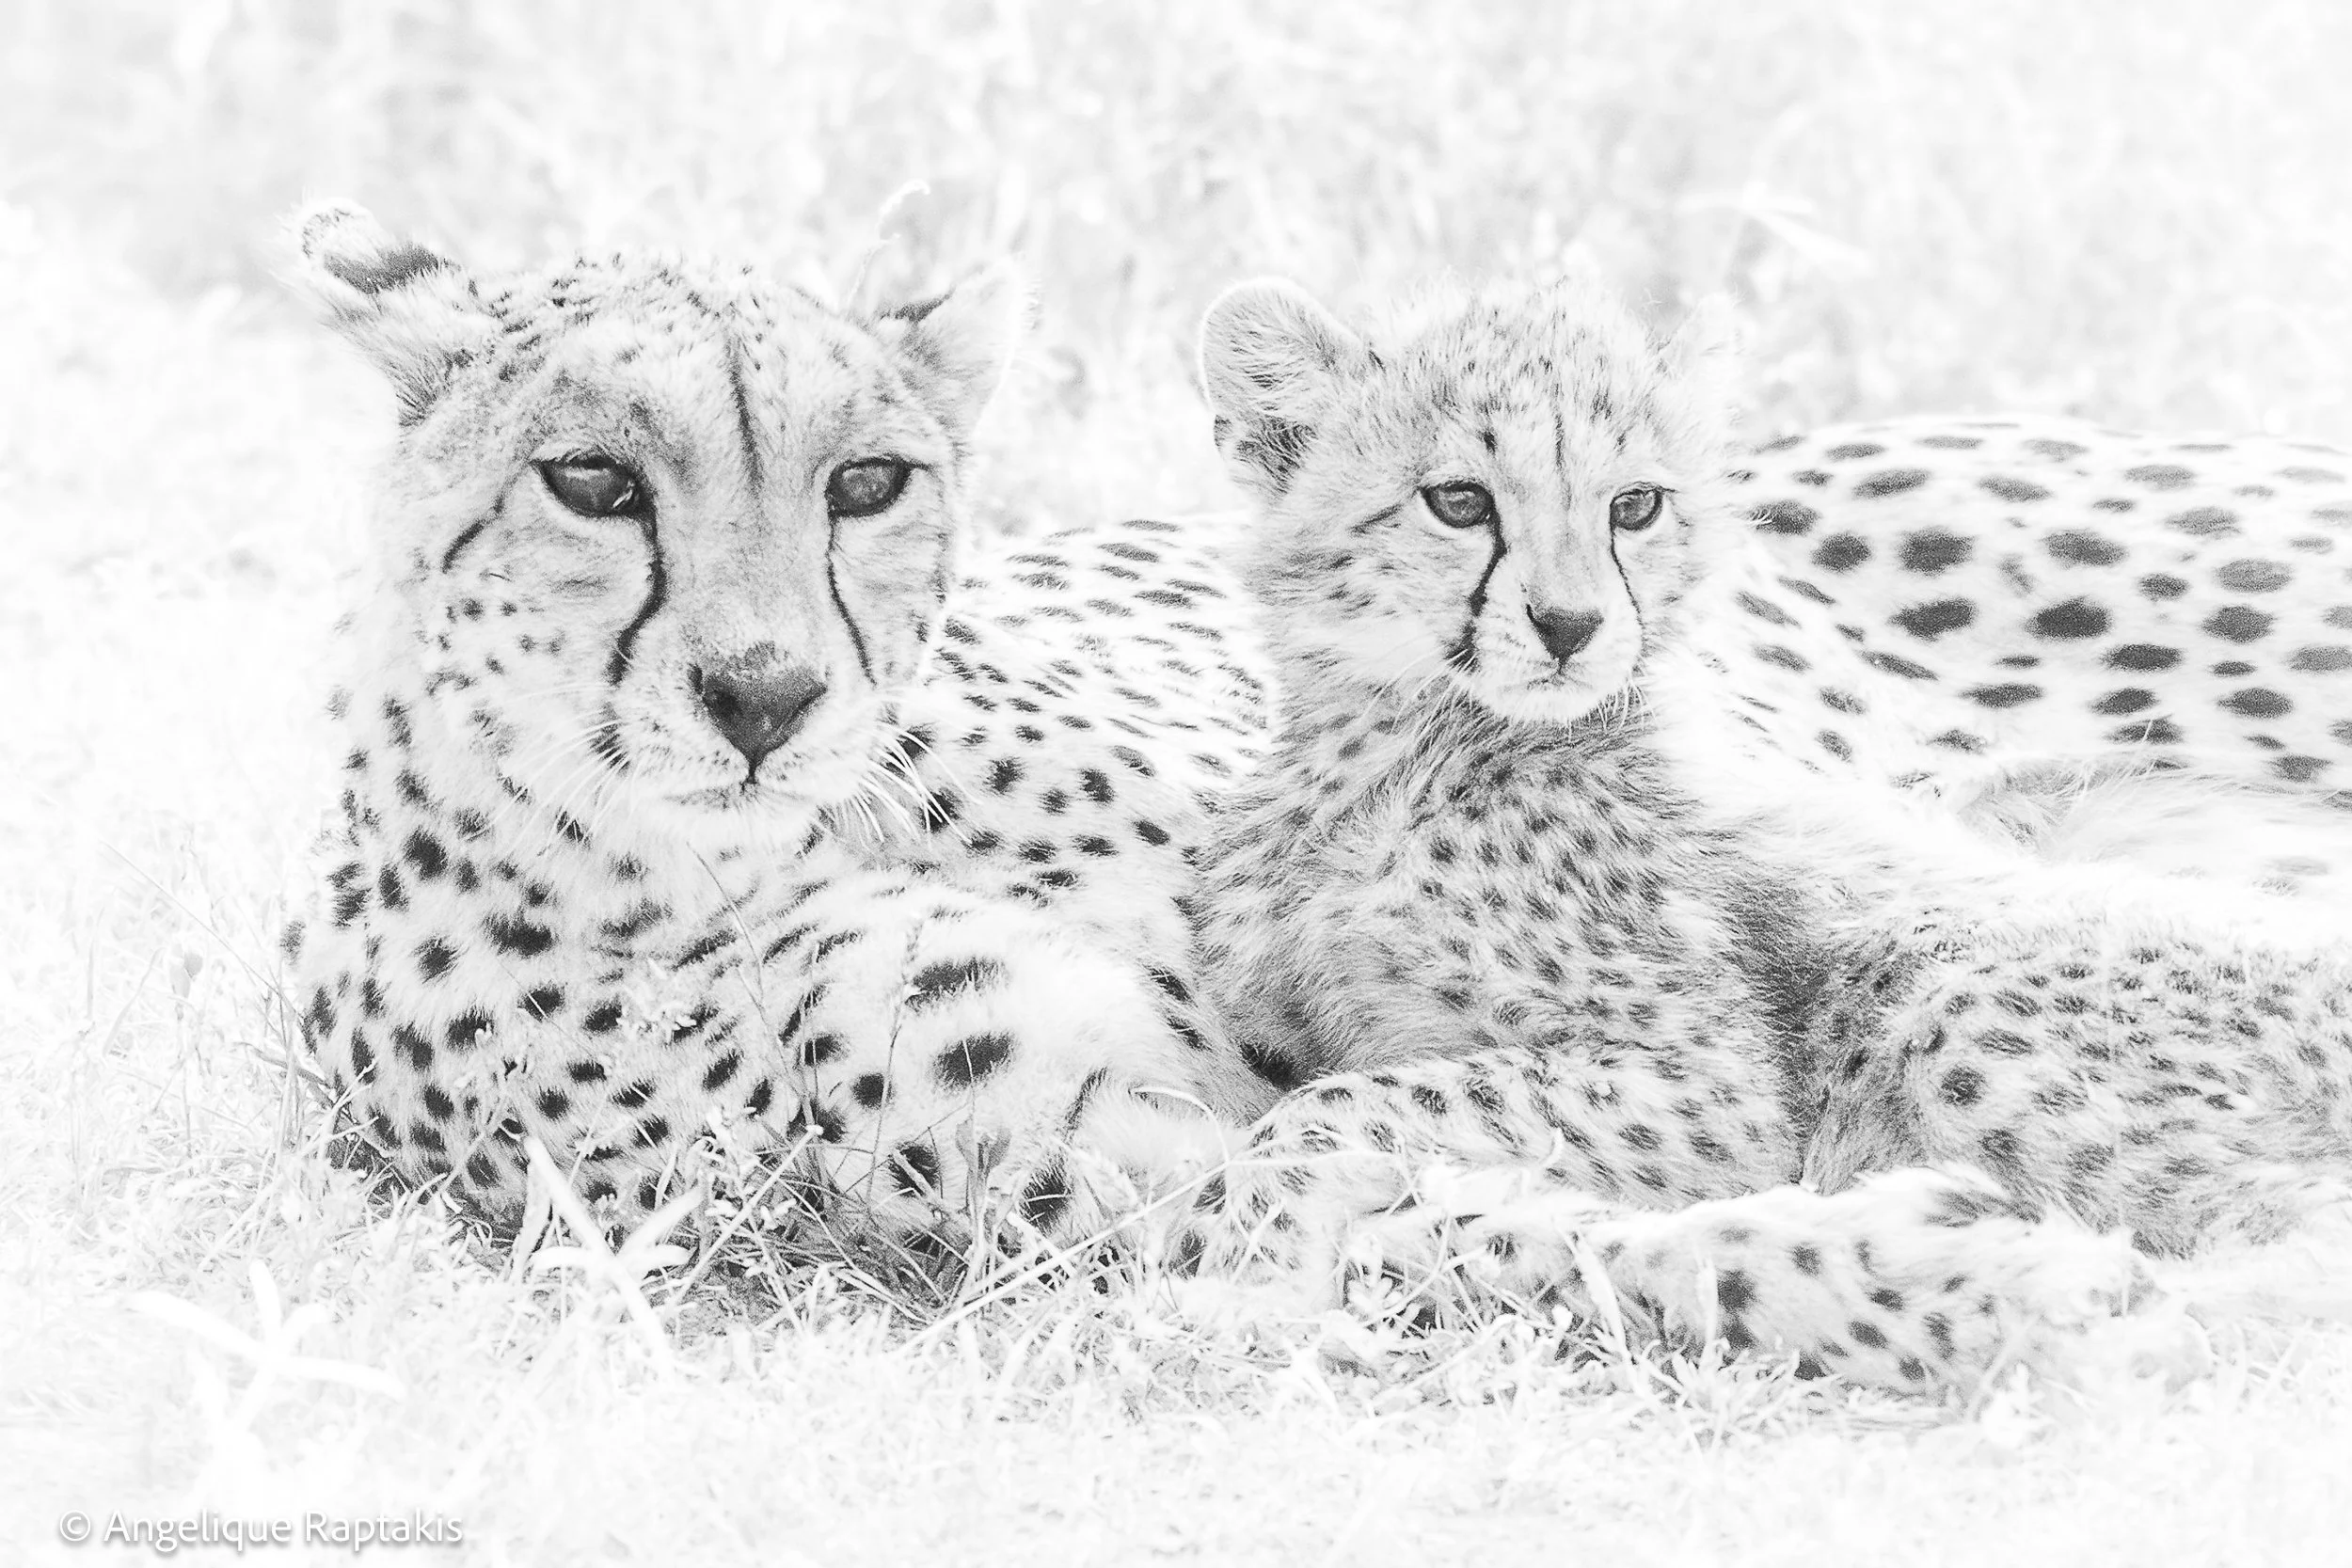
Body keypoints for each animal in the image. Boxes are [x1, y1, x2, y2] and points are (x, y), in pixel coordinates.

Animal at [1171, 273, 2352, 1394]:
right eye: (1458, 500)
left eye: (1634, 504)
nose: (1569, 625)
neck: (1400, 741)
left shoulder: (1713, 1086)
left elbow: (1342, 1104)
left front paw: (1243, 1269)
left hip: (1952, 1002)